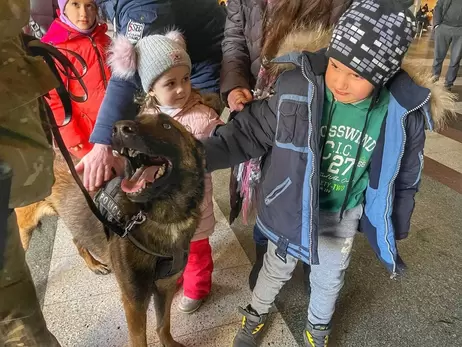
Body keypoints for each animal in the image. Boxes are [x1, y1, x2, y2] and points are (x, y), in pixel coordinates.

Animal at [15, 112, 205, 347]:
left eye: (167, 125)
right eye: (138, 118)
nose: (119, 127)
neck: (162, 218)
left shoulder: (165, 287)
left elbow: (164, 325)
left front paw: (169, 343)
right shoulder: (134, 301)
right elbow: (139, 339)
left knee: (77, 241)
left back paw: (94, 264)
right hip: (23, 230)